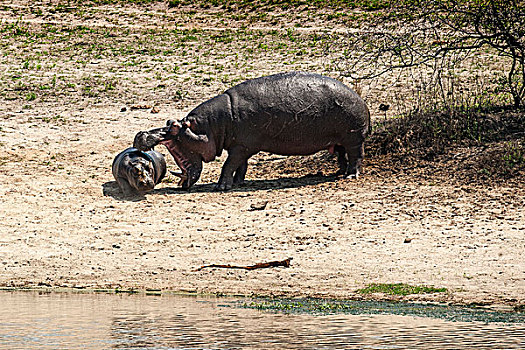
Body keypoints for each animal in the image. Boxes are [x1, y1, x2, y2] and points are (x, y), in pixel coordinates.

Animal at [133, 72, 370, 191]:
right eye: (169, 120)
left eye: (174, 126)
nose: (140, 135)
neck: (211, 127)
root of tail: (362, 102)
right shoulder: (241, 146)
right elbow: (240, 166)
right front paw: (238, 183)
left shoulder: (241, 146)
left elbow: (229, 165)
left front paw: (221, 187)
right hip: (338, 141)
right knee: (342, 156)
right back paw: (338, 173)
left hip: (353, 138)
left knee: (356, 156)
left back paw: (350, 176)